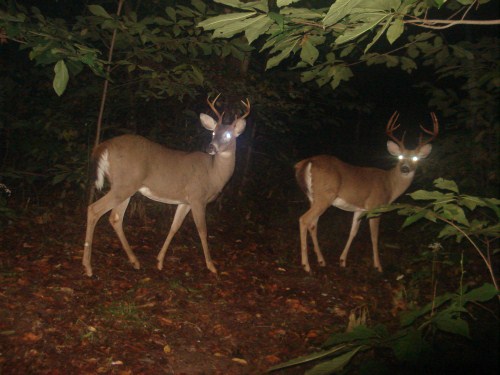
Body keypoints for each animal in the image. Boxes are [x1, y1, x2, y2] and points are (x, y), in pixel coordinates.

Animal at [81, 95, 250, 278]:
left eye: (228, 134)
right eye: (213, 132)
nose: (210, 147)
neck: (213, 173)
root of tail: (104, 146)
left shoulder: (185, 201)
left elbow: (174, 227)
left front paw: (160, 261)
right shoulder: (197, 197)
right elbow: (203, 231)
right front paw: (212, 266)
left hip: (125, 187)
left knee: (115, 218)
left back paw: (135, 261)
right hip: (124, 184)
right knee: (94, 209)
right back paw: (88, 266)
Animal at [294, 111, 440, 274]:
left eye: (415, 158)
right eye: (400, 156)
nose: (405, 168)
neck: (389, 185)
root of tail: (308, 162)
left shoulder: (360, 209)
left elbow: (353, 232)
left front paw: (342, 260)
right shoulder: (376, 206)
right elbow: (374, 236)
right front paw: (378, 266)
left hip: (313, 197)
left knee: (313, 224)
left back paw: (321, 260)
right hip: (325, 196)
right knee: (304, 219)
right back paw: (306, 265)